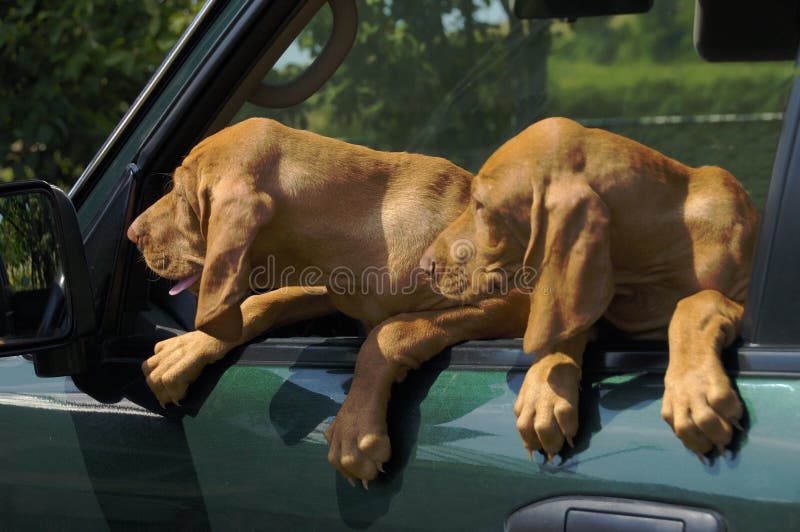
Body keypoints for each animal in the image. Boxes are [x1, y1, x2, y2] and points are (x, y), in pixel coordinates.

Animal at [128, 118, 528, 484]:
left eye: (182, 196)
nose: (132, 234)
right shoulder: (329, 288)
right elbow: (266, 302)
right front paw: (188, 349)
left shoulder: (509, 304)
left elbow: (390, 331)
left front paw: (354, 427)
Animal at [418, 117, 756, 462]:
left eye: (481, 205)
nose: (424, 265)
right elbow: (563, 327)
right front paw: (543, 392)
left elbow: (697, 303)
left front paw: (694, 388)